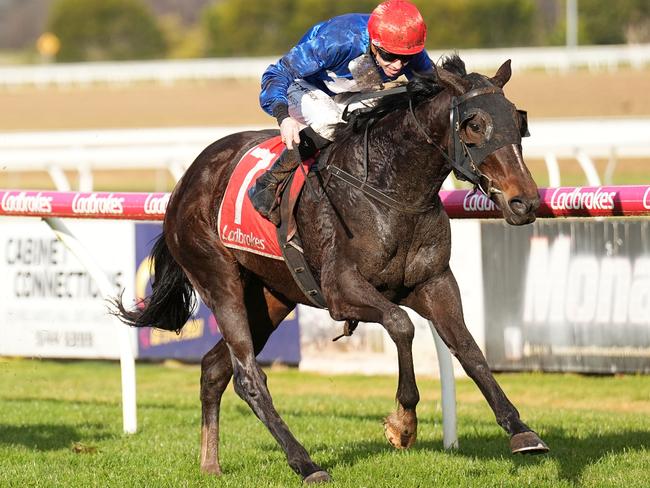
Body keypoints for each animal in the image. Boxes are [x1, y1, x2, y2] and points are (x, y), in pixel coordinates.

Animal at [114, 55, 544, 482]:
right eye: (474, 124)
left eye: (518, 120)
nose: (525, 202)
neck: (390, 190)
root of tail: (184, 183)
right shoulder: (341, 290)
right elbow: (401, 324)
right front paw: (403, 424)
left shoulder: (434, 281)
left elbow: (468, 349)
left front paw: (520, 430)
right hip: (219, 280)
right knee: (248, 376)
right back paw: (306, 464)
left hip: (271, 298)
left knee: (215, 368)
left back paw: (210, 463)